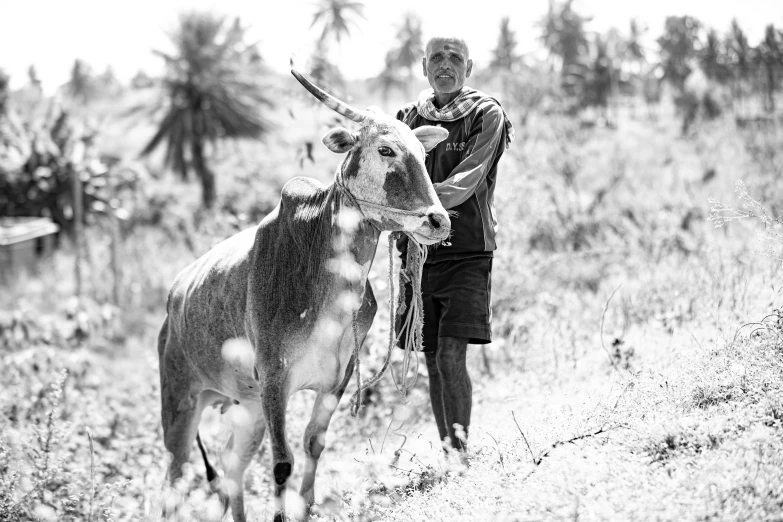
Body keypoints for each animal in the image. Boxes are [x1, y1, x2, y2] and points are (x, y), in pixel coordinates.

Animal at [158, 70, 454, 520]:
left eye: (423, 152)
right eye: (385, 149)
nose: (438, 221)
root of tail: (171, 306)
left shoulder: (337, 378)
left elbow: (314, 444)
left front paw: (306, 506)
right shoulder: (273, 380)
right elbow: (283, 464)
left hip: (244, 408)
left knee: (230, 467)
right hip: (180, 404)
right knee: (173, 484)